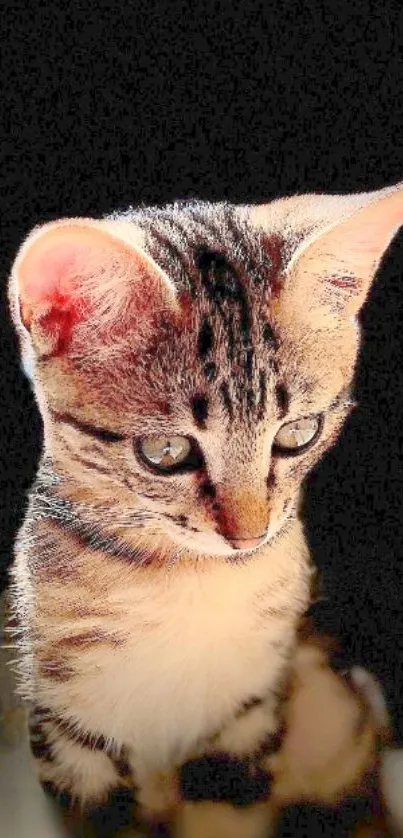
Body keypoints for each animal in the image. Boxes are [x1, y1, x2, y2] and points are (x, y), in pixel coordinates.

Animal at [6, 180, 403, 836]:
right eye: (166, 452)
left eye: (298, 433)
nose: (249, 537)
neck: (186, 580)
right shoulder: (68, 717)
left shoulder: (251, 707)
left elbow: (224, 809)